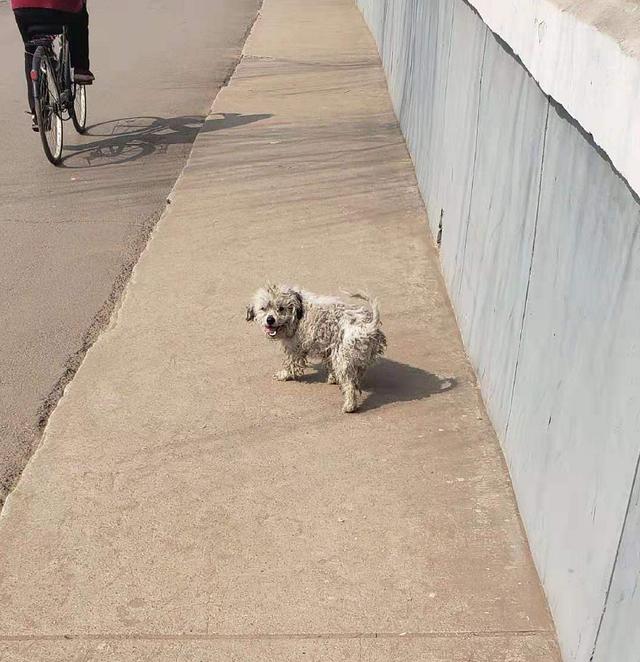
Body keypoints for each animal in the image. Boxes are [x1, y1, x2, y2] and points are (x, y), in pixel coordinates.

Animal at [245, 286, 384, 416]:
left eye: (281, 308)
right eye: (263, 308)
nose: (270, 320)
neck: (297, 313)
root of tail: (367, 327)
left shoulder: (294, 347)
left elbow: (291, 364)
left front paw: (284, 375)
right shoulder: (329, 345)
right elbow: (329, 363)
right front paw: (332, 377)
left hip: (343, 358)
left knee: (349, 384)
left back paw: (349, 406)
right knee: (355, 377)